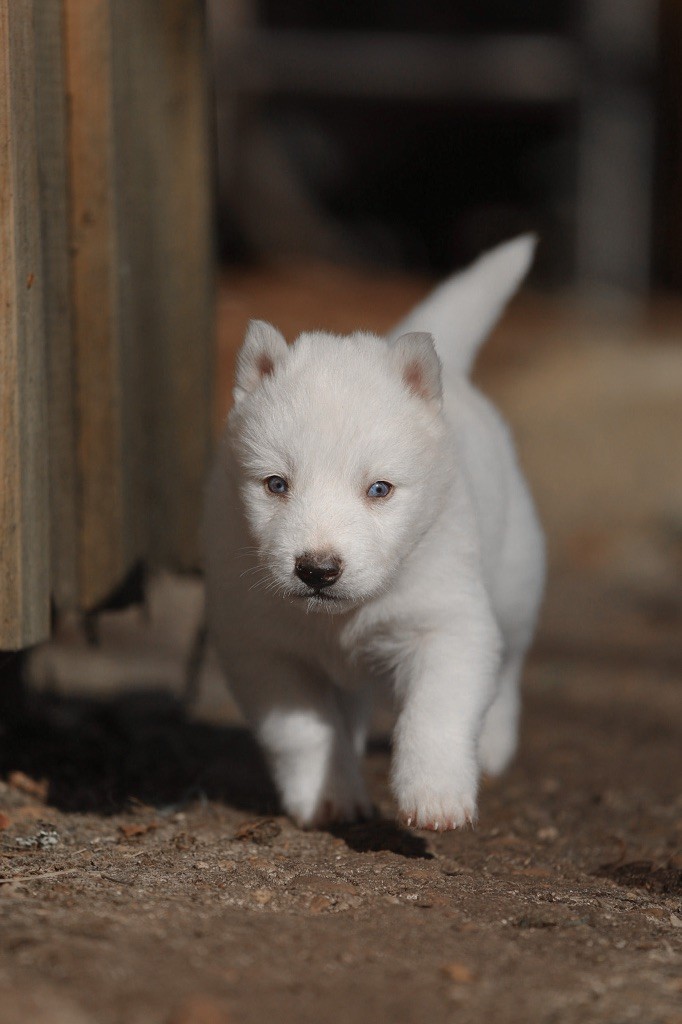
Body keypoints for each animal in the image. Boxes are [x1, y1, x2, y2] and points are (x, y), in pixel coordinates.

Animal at [201, 237, 540, 831]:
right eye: (276, 484)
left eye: (379, 489)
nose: (317, 570)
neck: (339, 621)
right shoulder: (262, 648)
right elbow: (303, 730)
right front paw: (327, 795)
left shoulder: (447, 621)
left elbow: (437, 710)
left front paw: (435, 795)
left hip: (515, 581)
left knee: (510, 665)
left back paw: (496, 743)